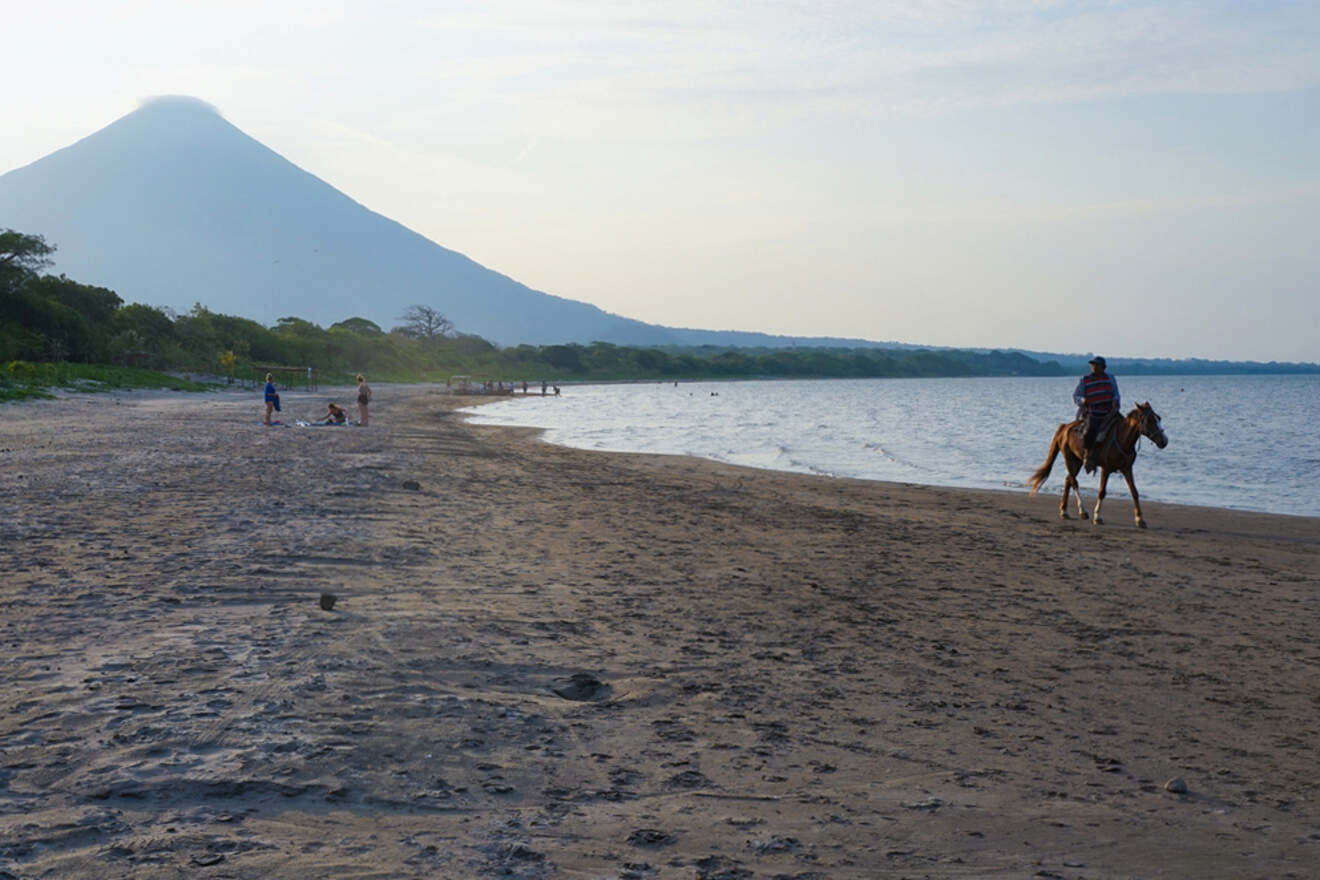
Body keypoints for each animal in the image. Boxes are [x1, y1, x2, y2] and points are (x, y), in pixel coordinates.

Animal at [1029, 403, 1166, 530]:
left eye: (1159, 418)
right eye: (1150, 420)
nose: (1164, 441)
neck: (1121, 439)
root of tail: (1064, 427)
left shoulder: (1127, 469)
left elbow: (1134, 492)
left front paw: (1140, 519)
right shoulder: (1106, 469)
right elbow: (1102, 492)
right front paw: (1097, 517)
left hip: (1077, 461)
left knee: (1068, 480)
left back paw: (1064, 511)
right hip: (1070, 459)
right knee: (1074, 482)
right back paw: (1082, 511)